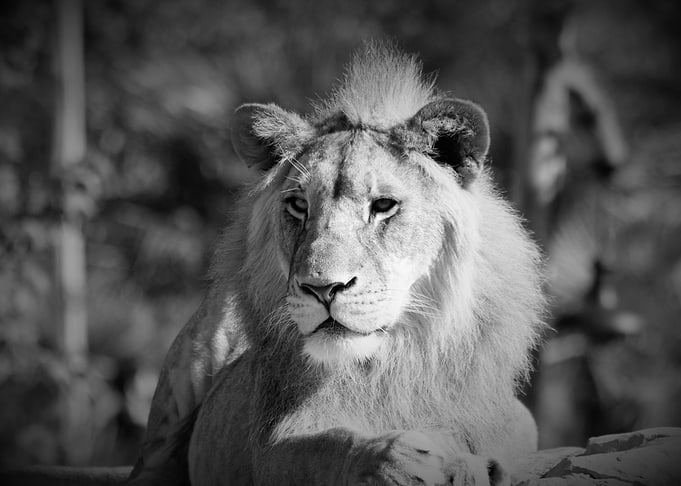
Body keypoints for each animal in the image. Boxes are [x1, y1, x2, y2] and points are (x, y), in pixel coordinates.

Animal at [129, 42, 545, 486]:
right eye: (299, 205)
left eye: (383, 205)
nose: (322, 288)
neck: (397, 361)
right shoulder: (270, 445)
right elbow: (329, 447)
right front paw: (403, 457)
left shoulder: (517, 421)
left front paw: (476, 465)